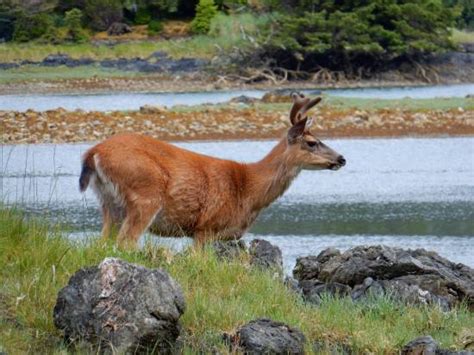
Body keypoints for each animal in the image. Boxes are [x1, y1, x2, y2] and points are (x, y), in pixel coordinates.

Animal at [78, 94, 344, 250]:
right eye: (311, 142)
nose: (341, 159)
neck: (248, 189)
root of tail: (93, 152)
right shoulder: (206, 228)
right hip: (145, 195)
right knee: (125, 242)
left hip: (109, 202)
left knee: (102, 241)